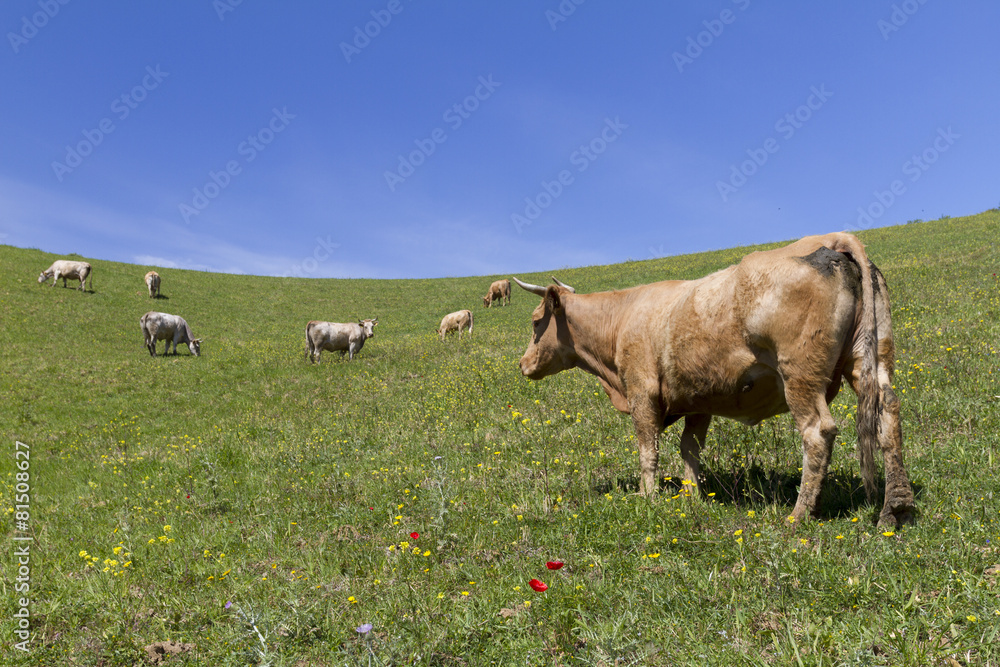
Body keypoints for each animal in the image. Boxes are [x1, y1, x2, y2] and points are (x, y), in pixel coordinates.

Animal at [512, 232, 916, 528]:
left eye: (535, 322)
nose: (522, 364)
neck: (623, 317)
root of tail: (832, 239)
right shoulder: (698, 399)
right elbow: (689, 448)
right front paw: (690, 495)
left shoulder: (642, 391)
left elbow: (648, 449)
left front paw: (647, 496)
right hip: (871, 358)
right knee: (888, 413)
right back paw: (895, 507)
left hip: (800, 374)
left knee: (817, 432)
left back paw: (799, 515)